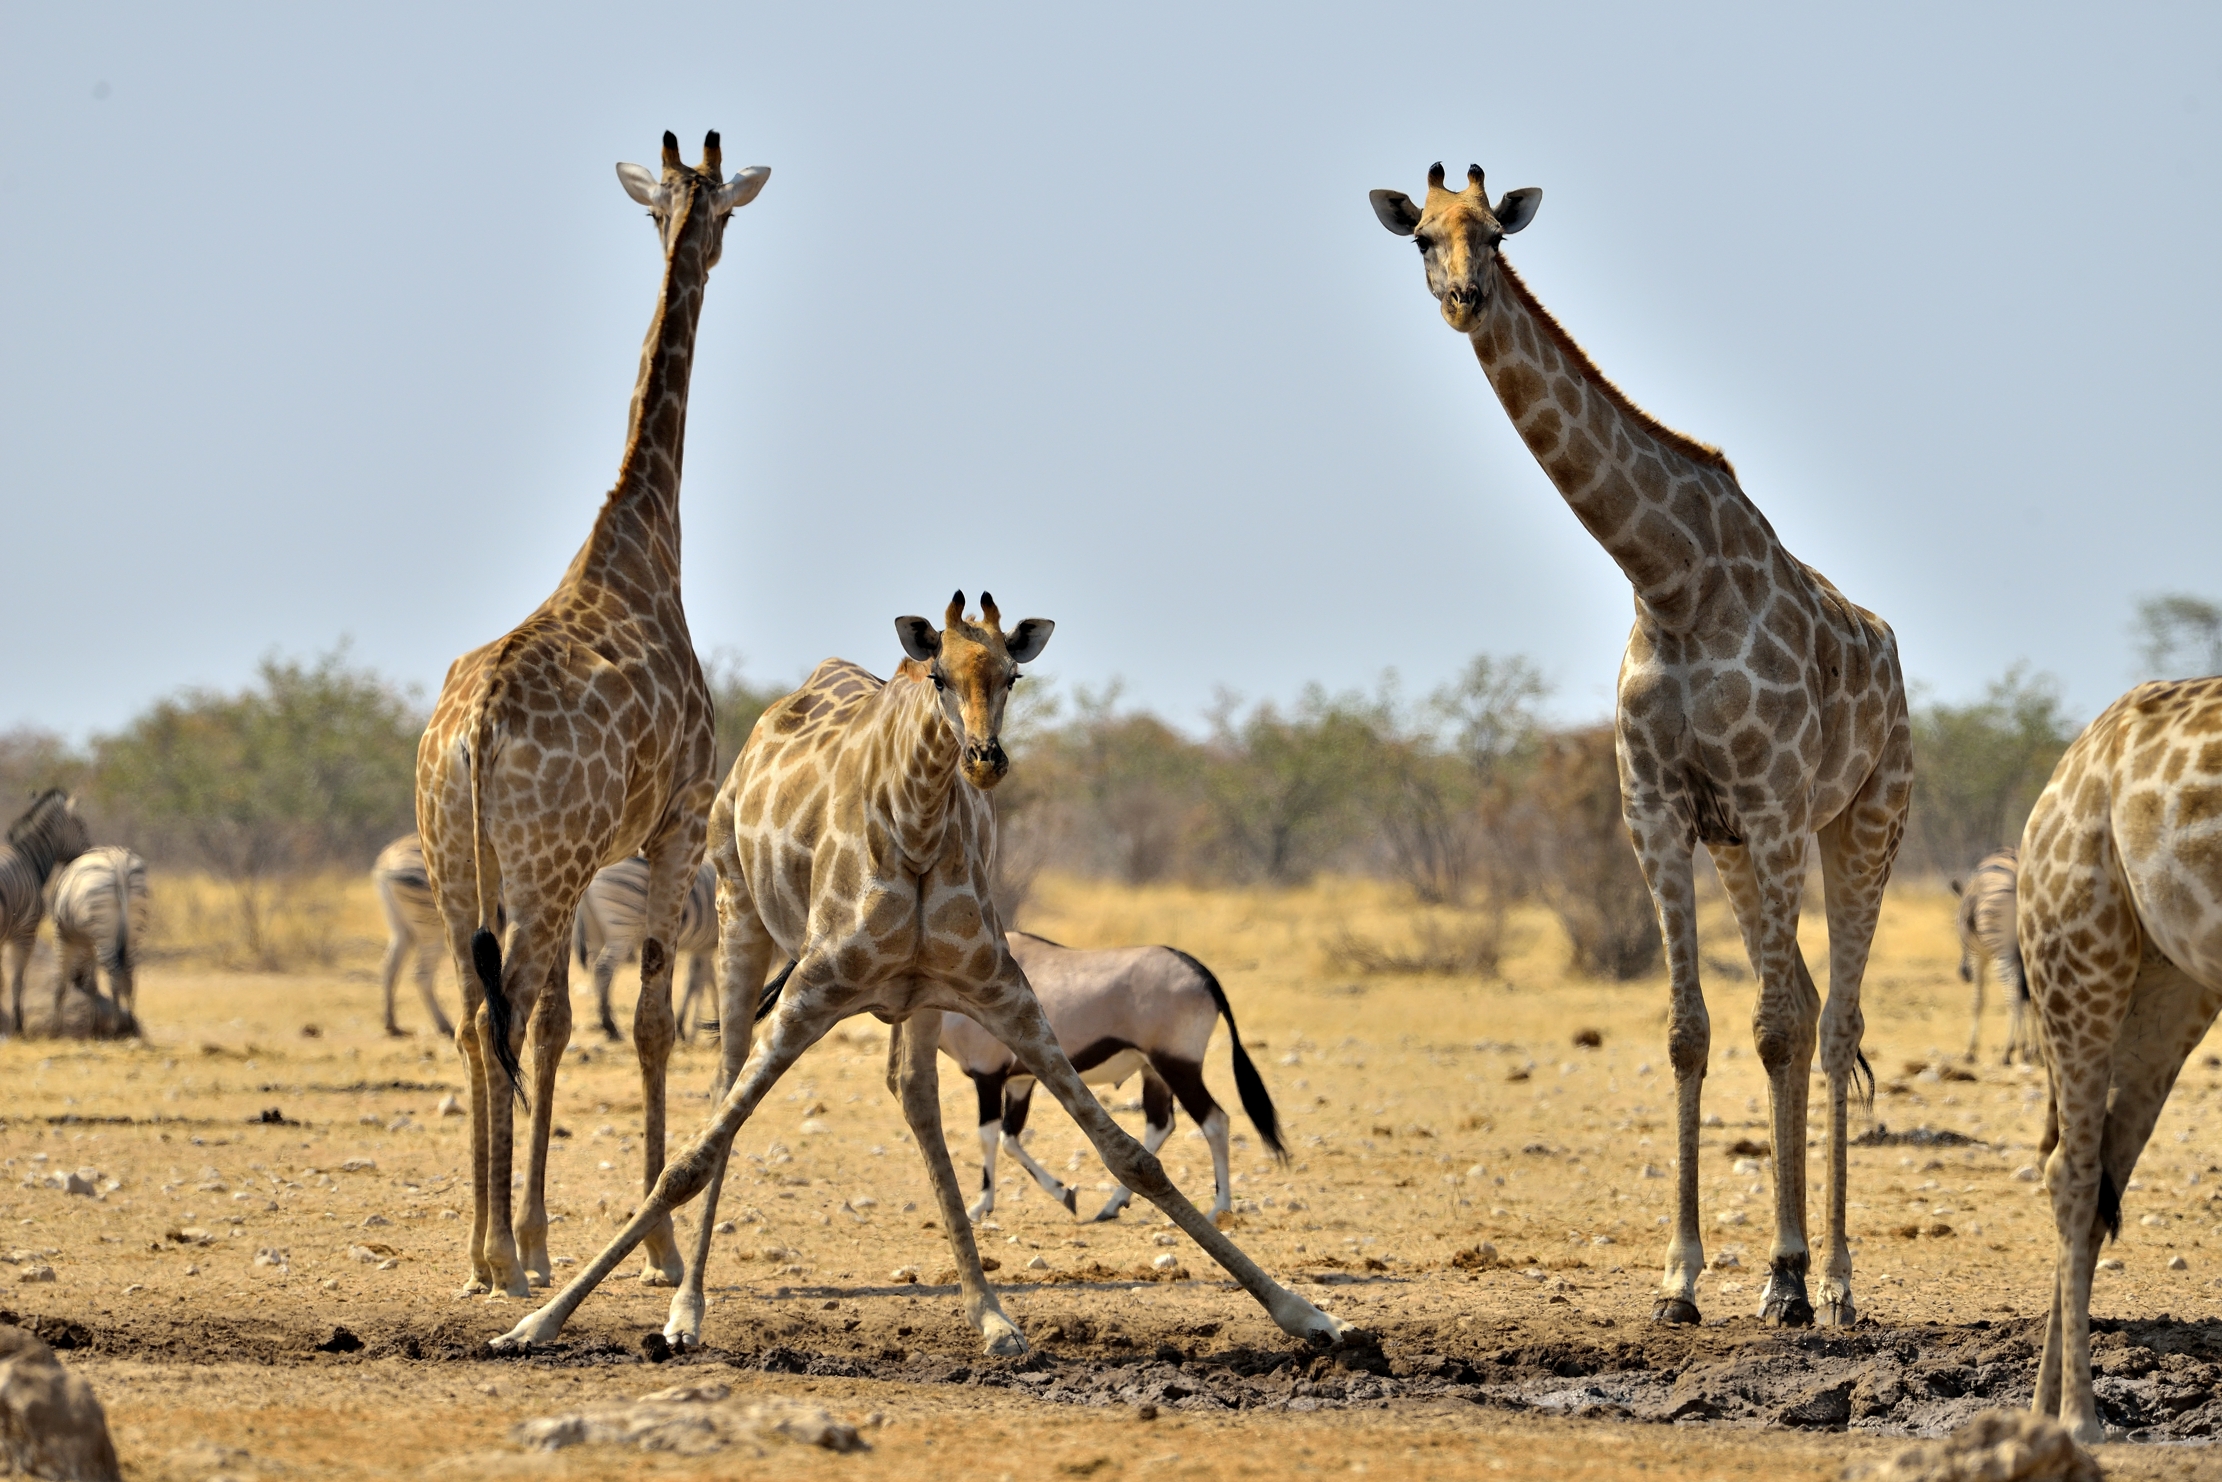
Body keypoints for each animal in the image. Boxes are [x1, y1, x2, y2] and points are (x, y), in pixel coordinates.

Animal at [415, 130, 768, 1300]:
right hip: (544, 864)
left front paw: (538, 1234)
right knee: (511, 1007)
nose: (699, 236)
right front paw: (655, 1244)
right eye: (714, 211)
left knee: (481, 1017)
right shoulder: (679, 819)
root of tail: (471, 732)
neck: (646, 536)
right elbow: (650, 1022)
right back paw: (497, 1256)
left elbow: (570, 1026)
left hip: (462, 865)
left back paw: (483, 1255)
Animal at [489, 593, 1351, 1358]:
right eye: (938, 673)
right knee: (724, 1091)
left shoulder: (1000, 991)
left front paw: (1307, 1314)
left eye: (1013, 675)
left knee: (915, 1095)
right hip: (739, 919)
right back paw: (686, 1309)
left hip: (925, 1000)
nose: (984, 758)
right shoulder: (811, 990)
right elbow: (692, 1158)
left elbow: (1129, 1154)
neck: (915, 829)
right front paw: (536, 1323)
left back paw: (991, 1314)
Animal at [1369, 163, 1913, 1327]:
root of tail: (1888, 649)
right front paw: (1679, 1279)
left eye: (1492, 234)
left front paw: (1784, 1279)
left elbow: (1772, 1029)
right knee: (1808, 1005)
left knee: (1836, 1022)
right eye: (1421, 237)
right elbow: (1689, 1030)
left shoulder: (1770, 803)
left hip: (1863, 822)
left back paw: (1837, 1279)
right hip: (1745, 849)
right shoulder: (1659, 811)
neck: (1668, 578)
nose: (1464, 297)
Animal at [2019, 676, 2222, 1444]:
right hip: (2078, 945)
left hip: (2174, 985)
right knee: (2071, 1172)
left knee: (2106, 1167)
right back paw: (2079, 1418)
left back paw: (2044, 1412)